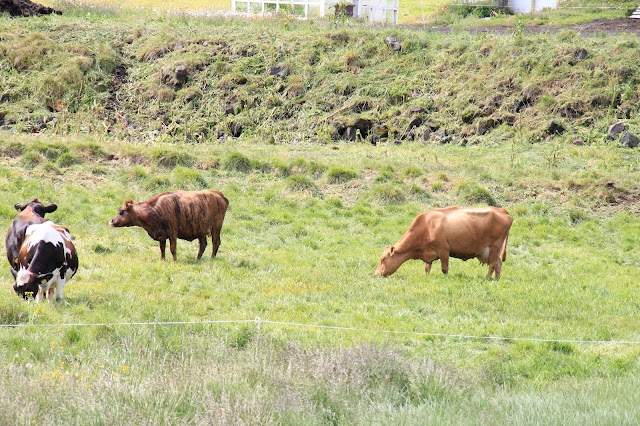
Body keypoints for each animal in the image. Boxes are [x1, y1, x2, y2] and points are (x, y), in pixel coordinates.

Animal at [372, 206, 512, 280]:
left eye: (383, 259)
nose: (376, 274)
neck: (427, 226)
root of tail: (500, 209)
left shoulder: (444, 250)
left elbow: (445, 268)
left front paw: (446, 279)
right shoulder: (428, 253)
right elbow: (427, 267)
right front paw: (427, 277)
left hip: (495, 246)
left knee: (493, 265)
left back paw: (487, 279)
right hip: (490, 251)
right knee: (498, 264)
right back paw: (496, 280)